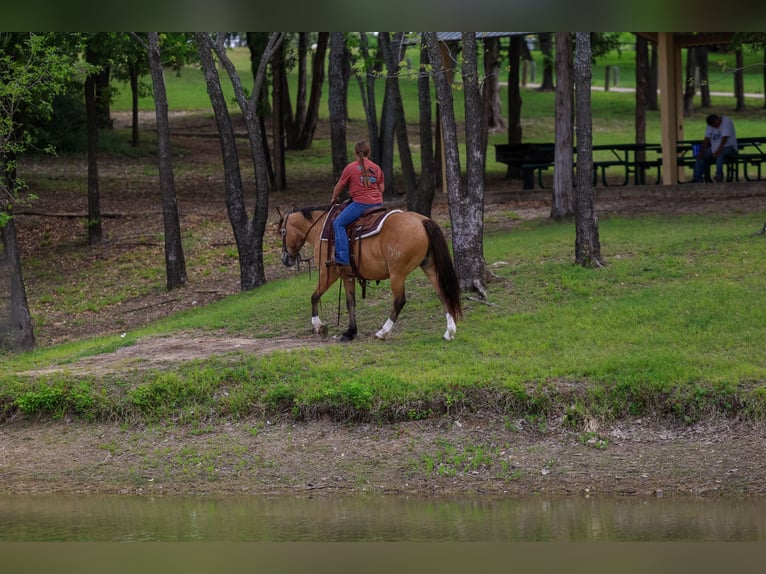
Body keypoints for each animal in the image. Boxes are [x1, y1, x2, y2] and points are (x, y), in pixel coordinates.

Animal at [278, 205, 463, 342]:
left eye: (282, 231)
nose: (284, 258)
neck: (321, 226)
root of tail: (423, 220)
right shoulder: (347, 276)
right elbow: (350, 302)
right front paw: (351, 332)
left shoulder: (328, 273)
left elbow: (314, 296)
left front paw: (319, 327)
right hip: (429, 266)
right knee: (442, 293)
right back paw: (449, 331)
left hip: (397, 273)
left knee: (399, 301)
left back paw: (383, 332)